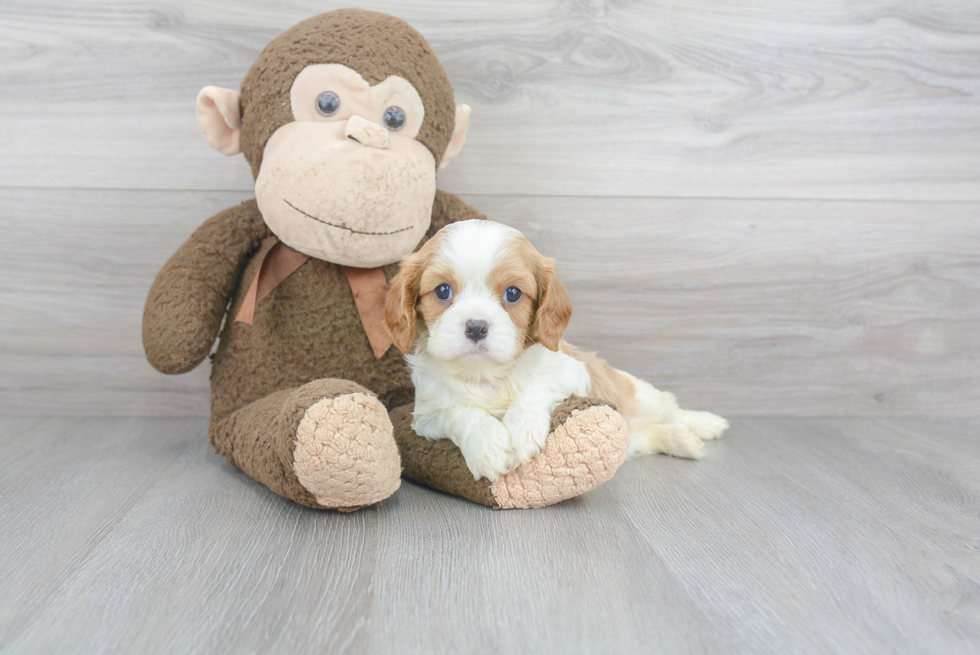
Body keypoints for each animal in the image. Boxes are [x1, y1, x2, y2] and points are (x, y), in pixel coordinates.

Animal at [382, 220, 728, 482]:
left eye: (512, 293)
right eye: (443, 291)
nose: (476, 326)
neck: (487, 374)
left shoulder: (573, 372)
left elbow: (536, 388)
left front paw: (522, 428)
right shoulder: (427, 416)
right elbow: (460, 412)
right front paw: (487, 444)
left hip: (641, 395)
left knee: (671, 407)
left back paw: (705, 424)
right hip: (635, 437)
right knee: (651, 435)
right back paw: (682, 440)